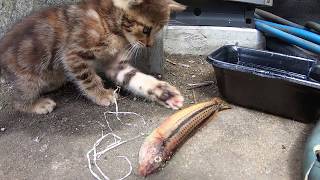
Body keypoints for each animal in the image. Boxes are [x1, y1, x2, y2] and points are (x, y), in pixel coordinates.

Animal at [0, 0, 185, 114]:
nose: (150, 45)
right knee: (18, 100)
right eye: (146, 30)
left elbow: (136, 78)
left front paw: (165, 93)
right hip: (29, 77)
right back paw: (36, 104)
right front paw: (101, 95)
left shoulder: (116, 65)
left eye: (159, 29)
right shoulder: (72, 54)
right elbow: (88, 78)